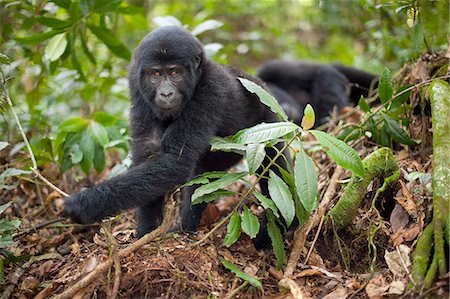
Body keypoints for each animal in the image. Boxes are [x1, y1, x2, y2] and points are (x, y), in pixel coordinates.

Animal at [64, 26, 282, 241]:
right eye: (156, 74)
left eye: (175, 72)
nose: (166, 93)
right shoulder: (136, 84)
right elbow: (149, 152)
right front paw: (146, 229)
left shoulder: (211, 89)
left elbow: (174, 161)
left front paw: (87, 203)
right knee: (203, 174)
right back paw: (188, 227)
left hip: (270, 121)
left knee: (274, 166)